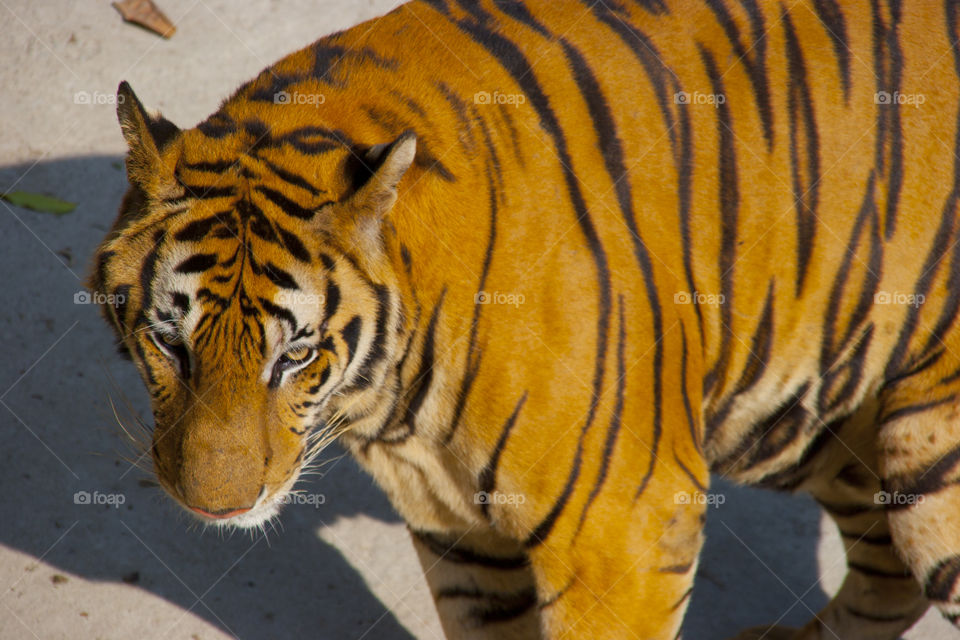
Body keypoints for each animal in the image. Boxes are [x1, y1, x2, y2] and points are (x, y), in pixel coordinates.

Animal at [90, 0, 960, 636]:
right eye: (168, 342)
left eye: (294, 357)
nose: (218, 508)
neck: (389, 399)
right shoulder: (456, 531)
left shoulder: (623, 532)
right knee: (884, 566)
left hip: (924, 452)